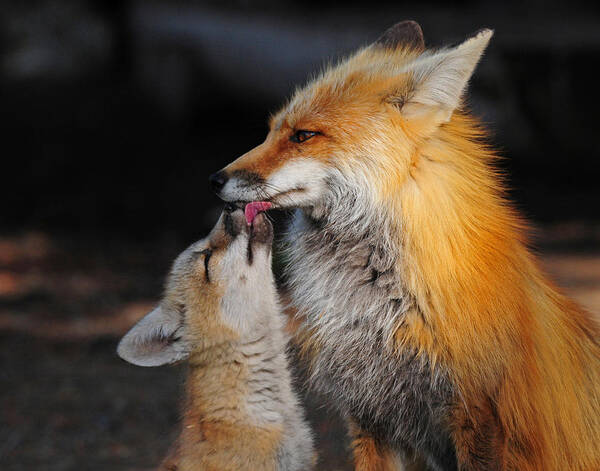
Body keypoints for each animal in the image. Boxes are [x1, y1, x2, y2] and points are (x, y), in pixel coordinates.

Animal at [209, 21, 596, 471]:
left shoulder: (478, 416)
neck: (376, 307)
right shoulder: (368, 412)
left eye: (304, 136)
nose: (214, 180)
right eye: (272, 131)